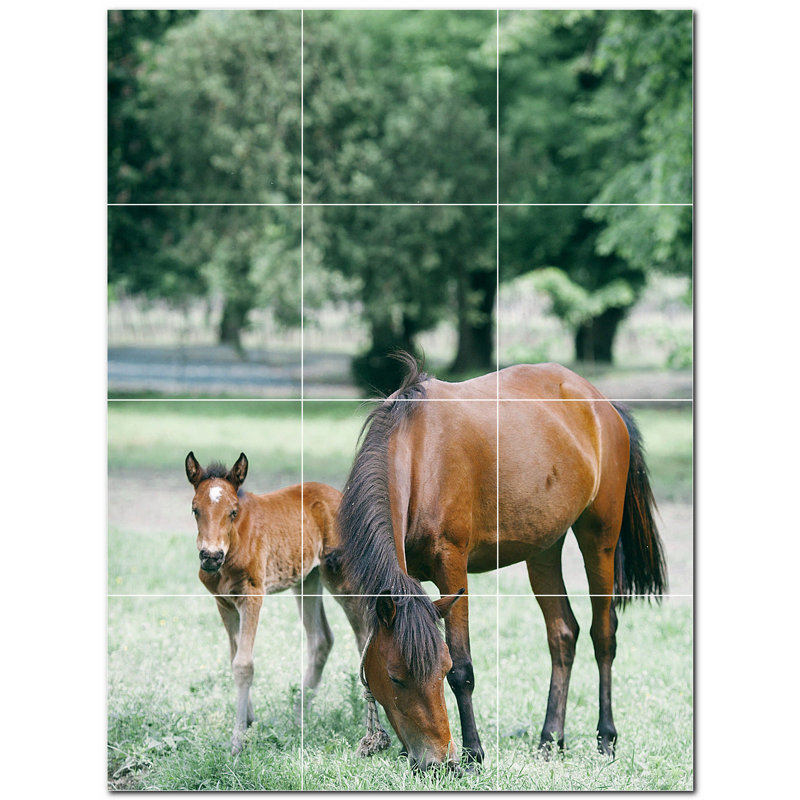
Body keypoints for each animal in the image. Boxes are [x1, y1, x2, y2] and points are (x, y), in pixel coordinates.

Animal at [185, 451, 390, 756]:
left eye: (233, 511)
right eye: (195, 509)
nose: (210, 556)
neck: (234, 544)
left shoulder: (252, 596)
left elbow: (243, 664)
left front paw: (238, 740)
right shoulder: (224, 603)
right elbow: (234, 657)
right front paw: (248, 721)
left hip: (341, 580)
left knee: (363, 636)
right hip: (307, 580)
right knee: (321, 639)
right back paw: (298, 716)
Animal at [330, 355, 667, 771]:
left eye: (440, 671)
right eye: (394, 678)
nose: (436, 762)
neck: (419, 454)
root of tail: (602, 404)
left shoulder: (452, 567)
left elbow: (464, 668)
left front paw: (474, 753)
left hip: (598, 539)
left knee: (603, 635)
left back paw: (605, 739)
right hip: (543, 549)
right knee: (563, 634)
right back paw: (550, 739)